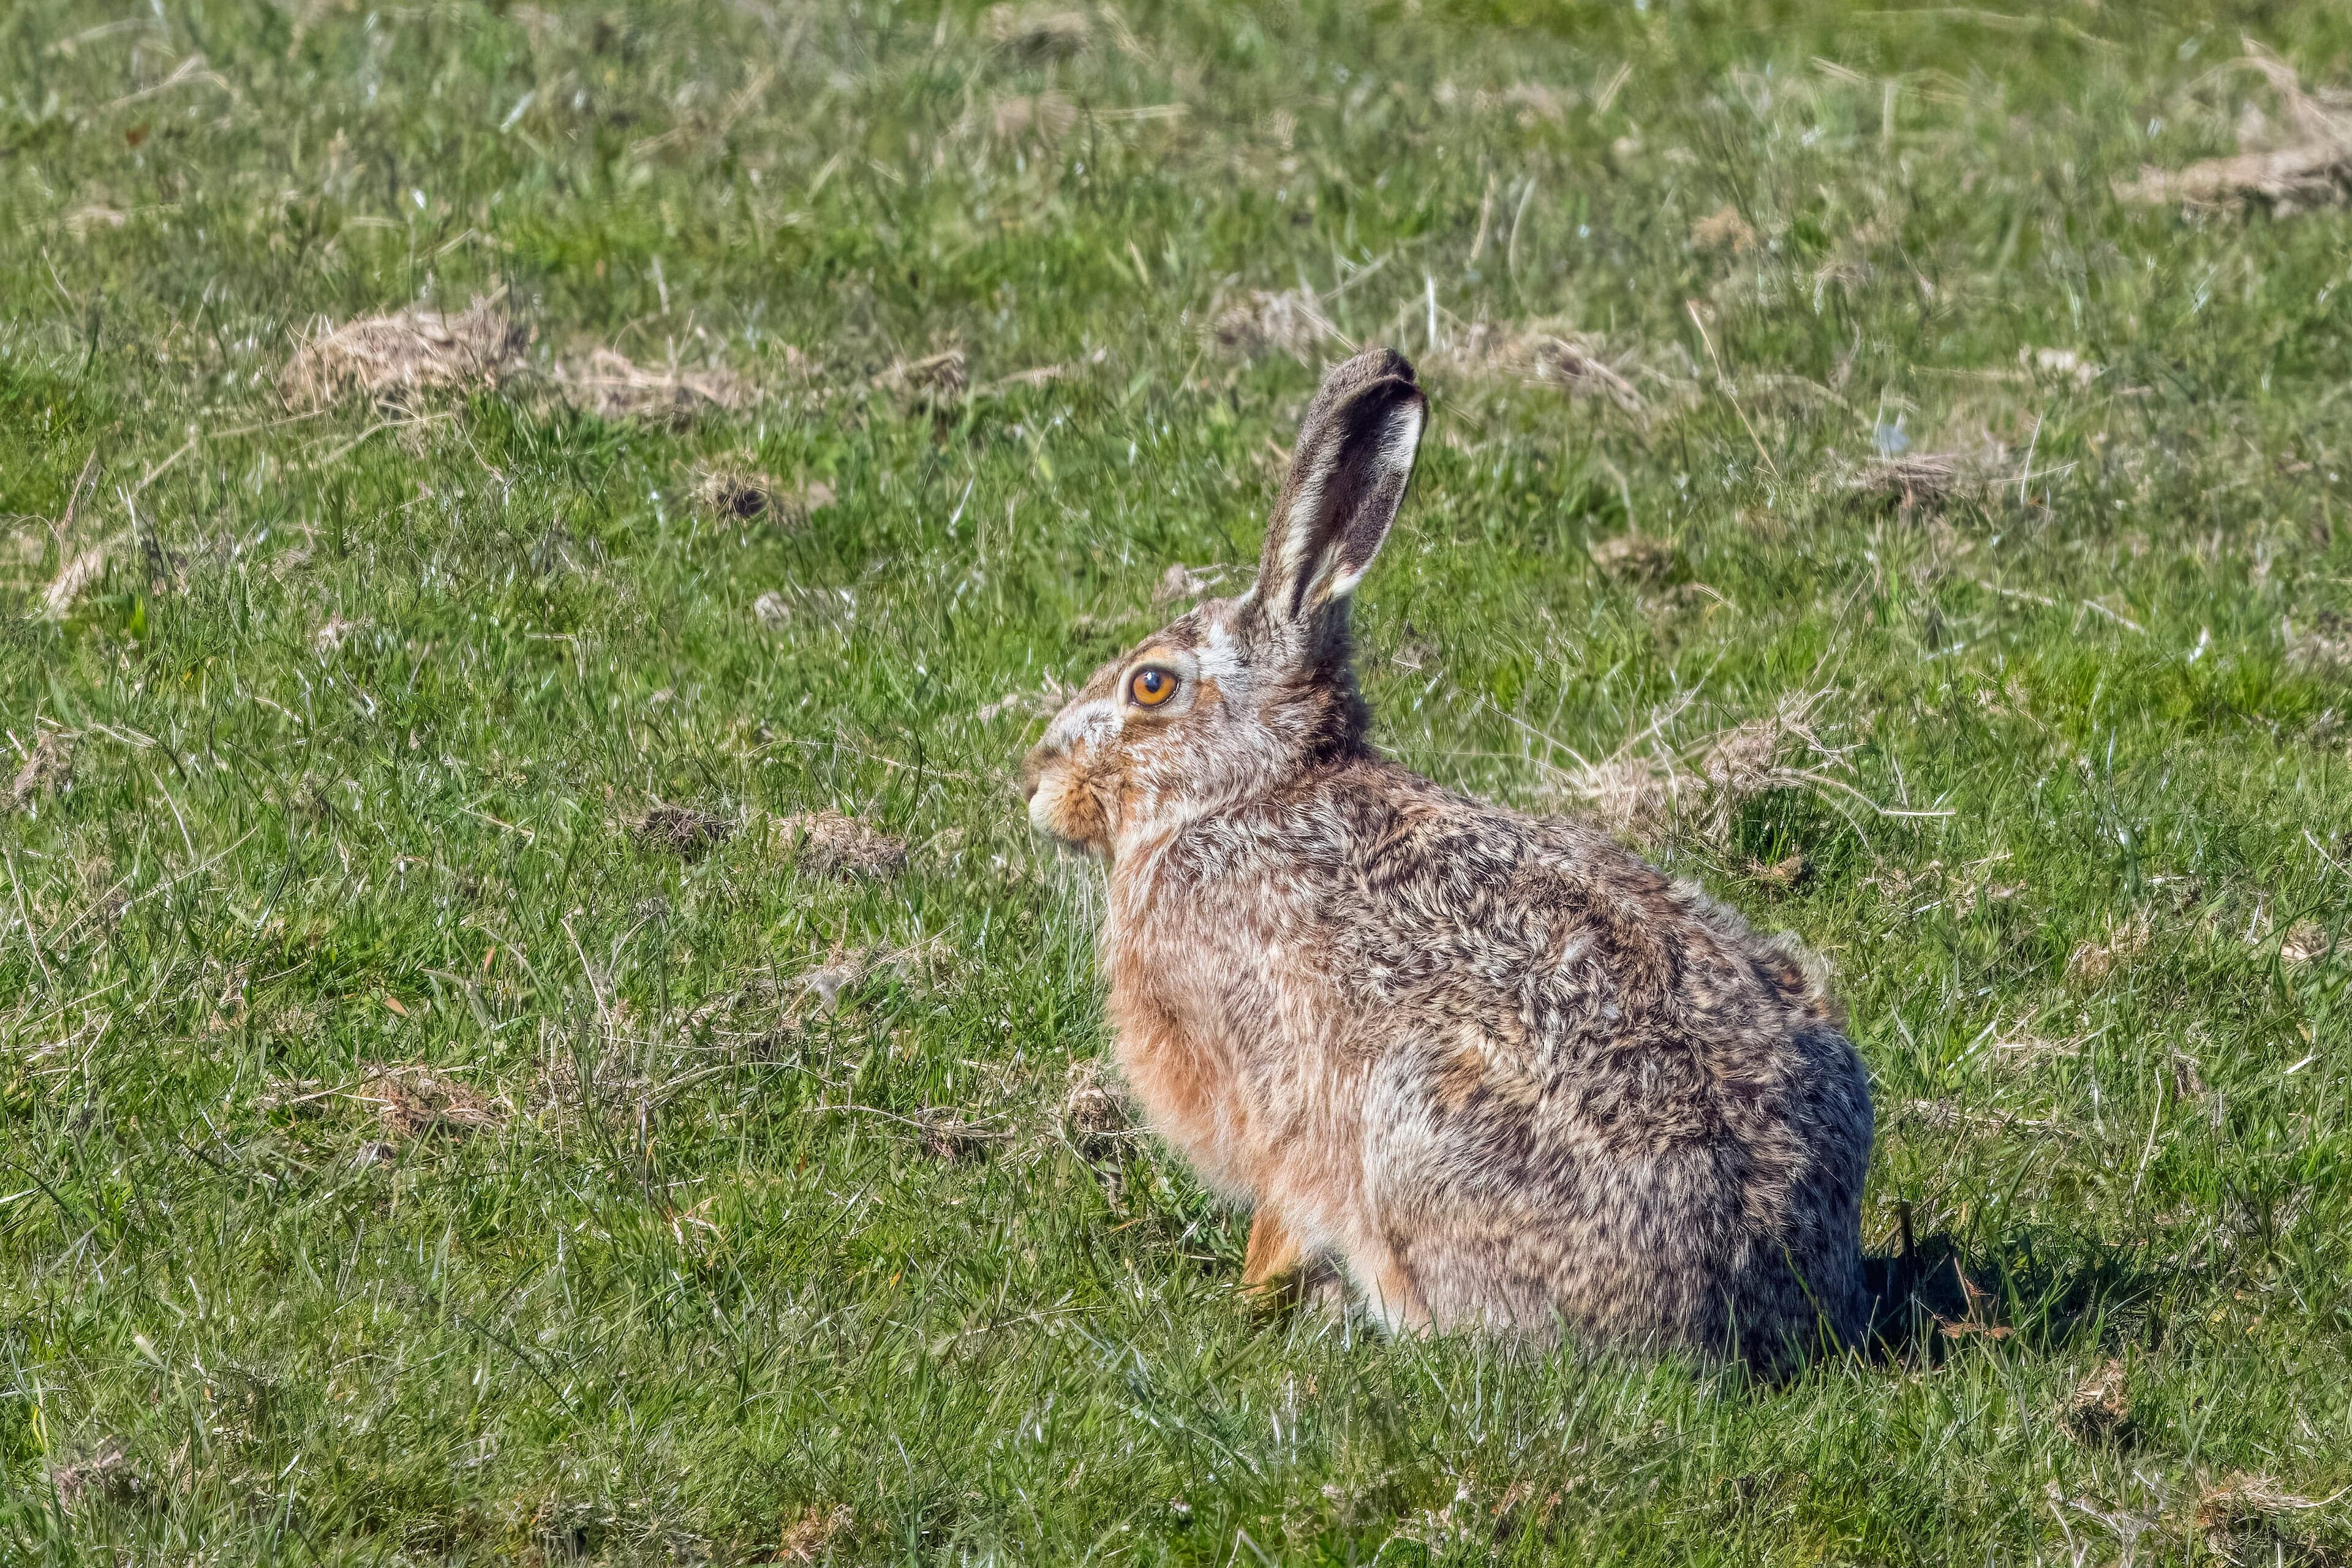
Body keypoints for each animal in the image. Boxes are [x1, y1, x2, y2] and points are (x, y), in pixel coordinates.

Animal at [1021, 346, 1874, 1371]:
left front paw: (1248, 1300)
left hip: (1418, 1126)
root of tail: (1760, 1294)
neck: (1249, 788)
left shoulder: (1263, 1075)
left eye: (1151, 686)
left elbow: (1281, 1199)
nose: (1035, 782)